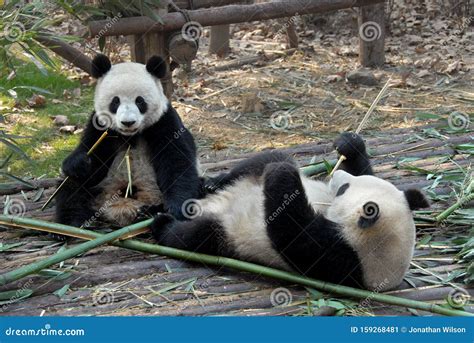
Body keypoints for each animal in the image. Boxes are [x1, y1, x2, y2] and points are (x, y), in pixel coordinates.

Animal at [55, 55, 202, 230]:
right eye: (115, 101)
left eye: (140, 101)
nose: (128, 122)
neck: (130, 136)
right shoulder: (99, 127)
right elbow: (93, 163)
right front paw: (80, 162)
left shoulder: (164, 122)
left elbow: (176, 162)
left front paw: (176, 208)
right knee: (71, 189)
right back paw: (72, 223)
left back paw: (150, 213)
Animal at [151, 133, 430, 292]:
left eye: (344, 190)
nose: (336, 176)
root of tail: (211, 203)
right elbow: (363, 169)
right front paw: (349, 144)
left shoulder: (340, 256)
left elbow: (292, 233)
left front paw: (282, 175)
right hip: (247, 177)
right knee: (263, 160)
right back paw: (212, 183)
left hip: (227, 231)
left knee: (197, 234)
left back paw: (163, 224)